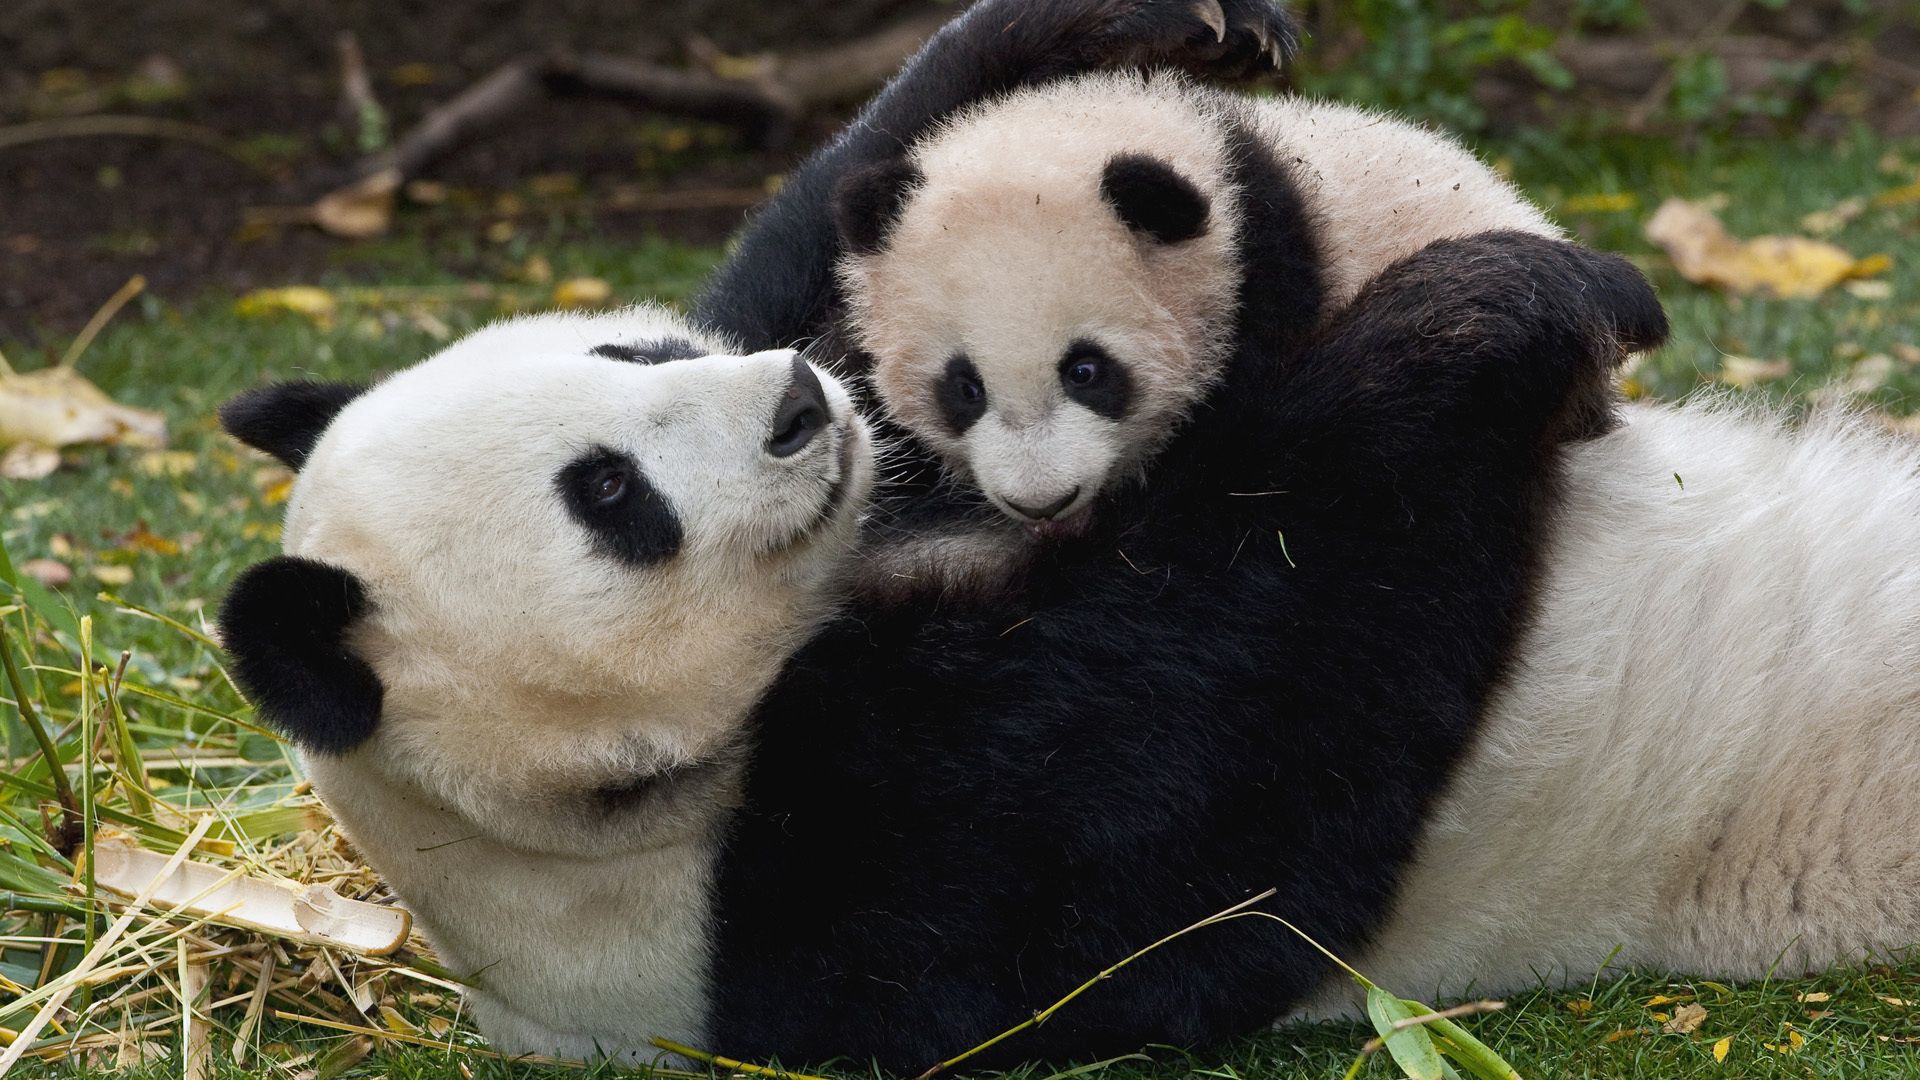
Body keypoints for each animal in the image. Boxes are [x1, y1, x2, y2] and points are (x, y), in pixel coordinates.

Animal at [206, 231, 1651, 1060]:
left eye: (634, 347)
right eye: (609, 494)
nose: (800, 401)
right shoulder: (843, 894)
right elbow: (1258, 722)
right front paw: (1493, 307)